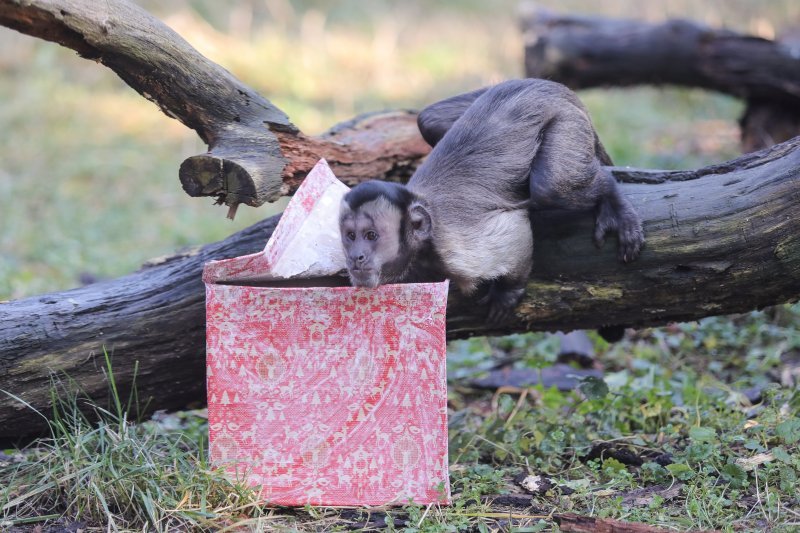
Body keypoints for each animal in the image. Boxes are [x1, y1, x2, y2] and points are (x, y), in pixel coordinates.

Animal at [338, 77, 644, 322]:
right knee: (428, 118)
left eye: (371, 235)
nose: (356, 257)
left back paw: (611, 194)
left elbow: (514, 232)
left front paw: (507, 292)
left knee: (551, 186)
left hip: (568, 122)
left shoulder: (454, 248)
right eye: (350, 237)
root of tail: (551, 87)